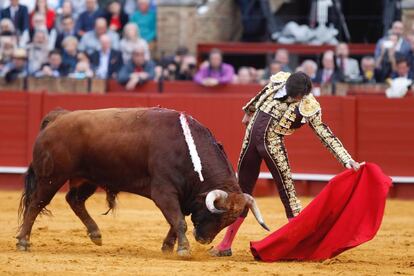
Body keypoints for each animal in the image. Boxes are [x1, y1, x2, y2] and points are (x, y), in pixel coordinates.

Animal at [15, 106, 268, 256]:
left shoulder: (182, 195)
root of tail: (57, 117)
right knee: (36, 204)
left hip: (87, 177)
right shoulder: (163, 191)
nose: (204, 240)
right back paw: (23, 242)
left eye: (228, 221)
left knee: (74, 200)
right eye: (216, 215)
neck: (187, 149)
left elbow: (175, 221)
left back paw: (95, 234)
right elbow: (179, 221)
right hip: (51, 177)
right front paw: (183, 249)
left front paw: (168, 247)